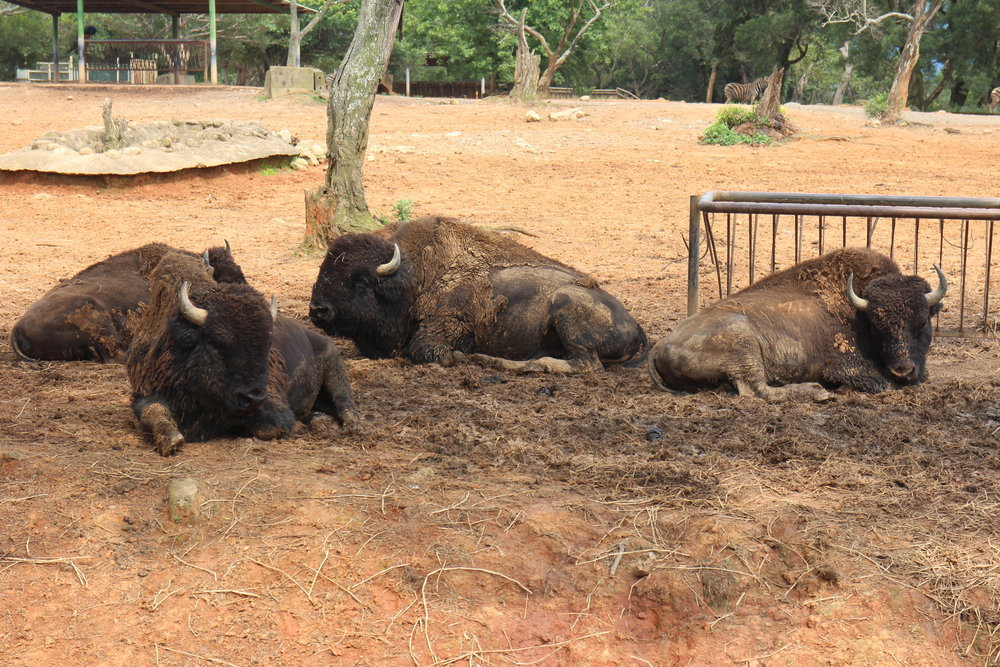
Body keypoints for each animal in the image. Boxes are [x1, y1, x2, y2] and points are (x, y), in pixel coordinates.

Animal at [127, 253, 358, 456]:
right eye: (216, 344)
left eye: (267, 345)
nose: (252, 399)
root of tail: (319, 338)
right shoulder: (147, 391)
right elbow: (152, 410)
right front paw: (172, 440)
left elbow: (269, 427)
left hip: (334, 366)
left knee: (343, 400)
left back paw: (351, 423)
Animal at [308, 217, 648, 374]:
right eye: (323, 270)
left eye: (362, 281)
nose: (318, 310)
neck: (414, 278)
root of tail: (635, 324)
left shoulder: (439, 333)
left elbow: (426, 351)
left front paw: (461, 356)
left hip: (566, 309)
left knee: (584, 364)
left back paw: (495, 361)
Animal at [648, 247, 944, 400]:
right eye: (876, 325)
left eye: (923, 323)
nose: (903, 370)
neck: (857, 309)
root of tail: (661, 343)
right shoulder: (846, 365)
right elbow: (880, 382)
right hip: (743, 343)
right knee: (758, 390)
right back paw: (817, 392)